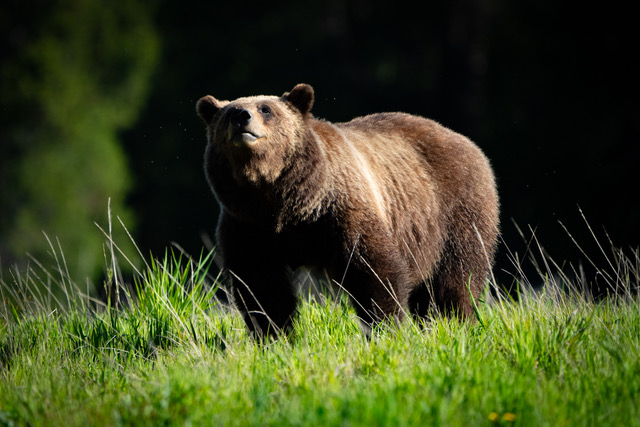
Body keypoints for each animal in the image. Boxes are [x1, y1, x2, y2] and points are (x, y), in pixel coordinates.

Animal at [196, 83, 499, 339]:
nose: (242, 116)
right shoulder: (248, 226)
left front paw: (383, 327)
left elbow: (374, 270)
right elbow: (261, 288)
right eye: (229, 111)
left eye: (266, 109)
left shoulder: (339, 211)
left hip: (454, 209)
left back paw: (454, 323)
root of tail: (464, 140)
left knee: (455, 279)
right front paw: (273, 335)